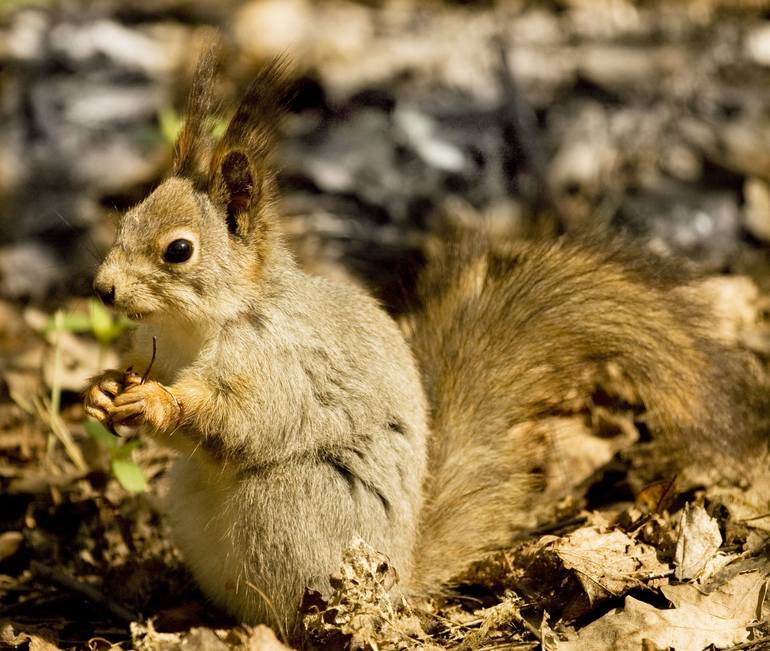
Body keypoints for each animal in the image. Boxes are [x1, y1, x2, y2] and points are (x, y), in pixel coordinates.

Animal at [81, 47, 764, 636]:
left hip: (291, 508)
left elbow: (246, 419)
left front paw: (158, 401)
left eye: (179, 250)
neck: (204, 326)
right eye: (125, 219)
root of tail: (402, 577)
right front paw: (103, 390)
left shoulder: (284, 363)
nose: (102, 288)